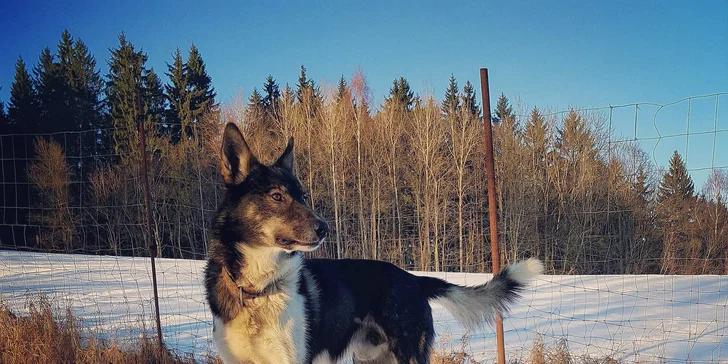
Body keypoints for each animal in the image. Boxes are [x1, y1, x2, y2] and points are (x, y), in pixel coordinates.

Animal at [202, 123, 544, 364]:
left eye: (303, 196)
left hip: (407, 356)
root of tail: (414, 280)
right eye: (276, 196)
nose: (325, 228)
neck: (256, 288)